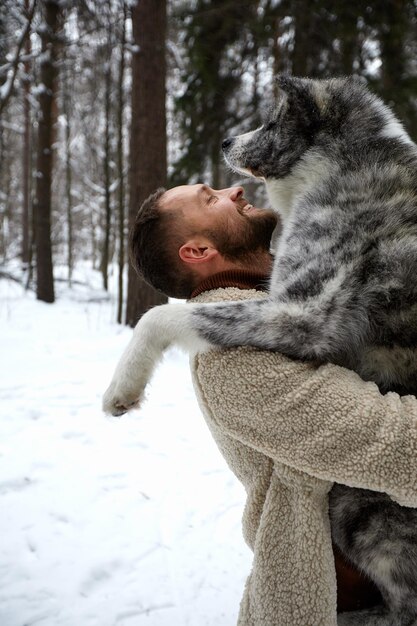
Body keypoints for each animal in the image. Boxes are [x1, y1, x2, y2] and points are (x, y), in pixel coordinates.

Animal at [103, 75, 416, 620]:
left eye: (271, 122)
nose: (227, 142)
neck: (352, 161)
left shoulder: (306, 315)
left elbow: (161, 314)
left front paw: (122, 387)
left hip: (357, 503)